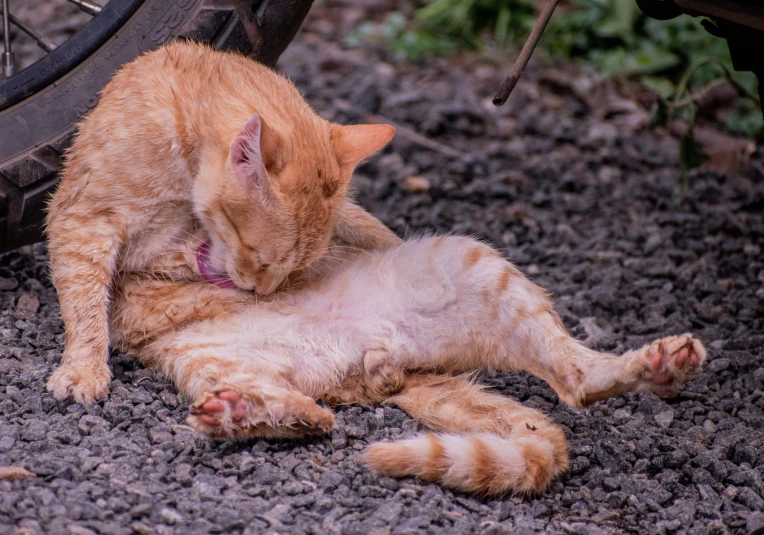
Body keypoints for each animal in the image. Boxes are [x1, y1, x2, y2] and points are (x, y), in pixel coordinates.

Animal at [46, 42, 400, 406]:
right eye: (259, 257)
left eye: (295, 268)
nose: (263, 292)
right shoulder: (86, 219)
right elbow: (85, 303)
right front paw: (84, 369)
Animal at [107, 232, 704, 496]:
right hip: (205, 360)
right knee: (310, 415)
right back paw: (242, 412)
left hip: (474, 265)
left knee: (574, 374)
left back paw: (663, 366)